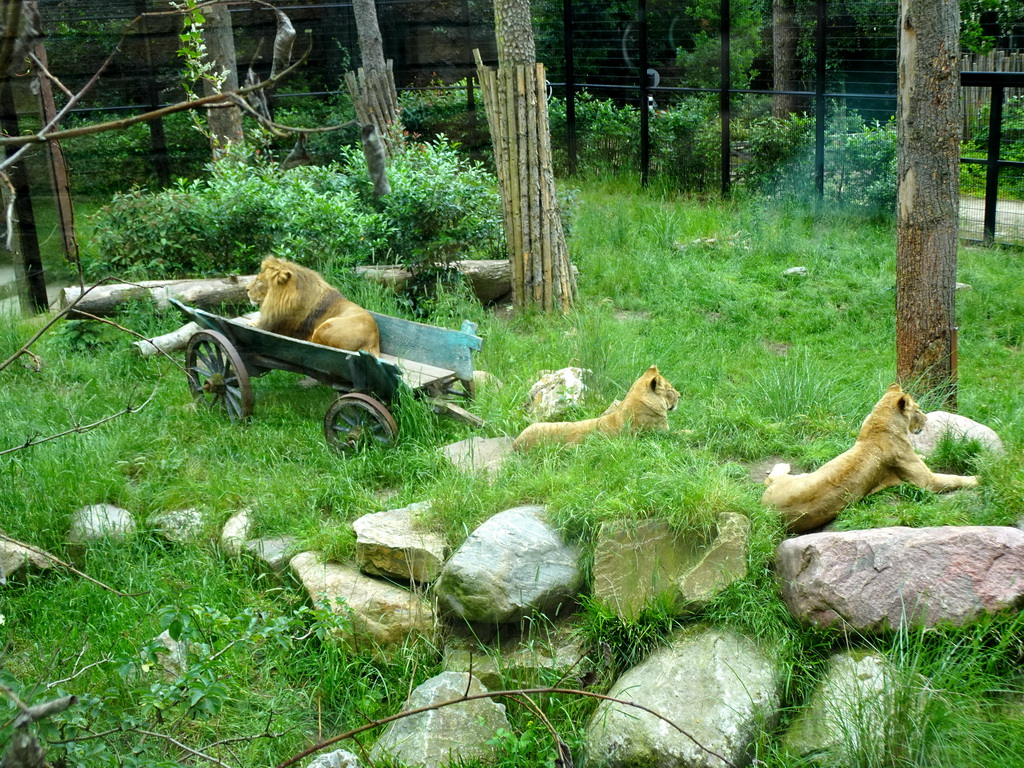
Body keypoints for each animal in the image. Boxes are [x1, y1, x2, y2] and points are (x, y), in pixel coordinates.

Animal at [247, 257, 380, 356]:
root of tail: (373, 343)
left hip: (325, 327)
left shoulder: (278, 327)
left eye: (259, 281)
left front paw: (252, 323)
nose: (246, 289)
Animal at [765, 385, 978, 536]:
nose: (926, 420)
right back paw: (783, 464)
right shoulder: (925, 483)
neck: (878, 426)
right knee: (772, 477)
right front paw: (978, 479)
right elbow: (954, 479)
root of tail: (766, 509)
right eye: (917, 410)